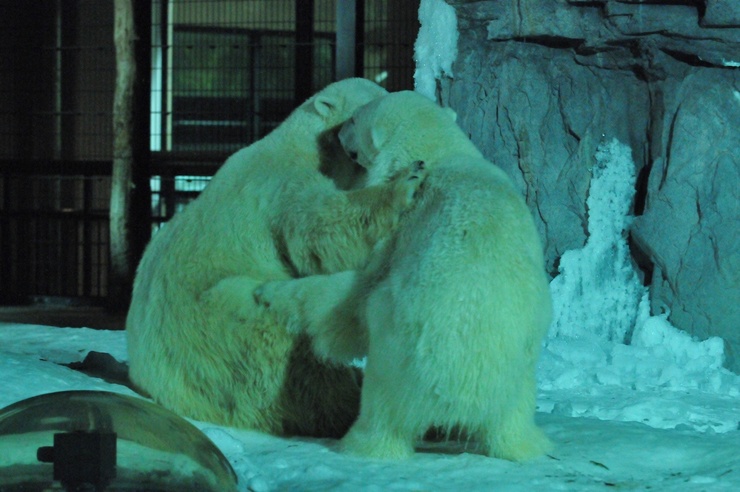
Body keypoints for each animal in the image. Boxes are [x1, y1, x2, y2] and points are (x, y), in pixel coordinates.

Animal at [127, 80, 428, 438]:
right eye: (370, 104)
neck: (305, 146)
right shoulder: (280, 184)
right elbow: (318, 229)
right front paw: (405, 183)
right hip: (219, 323)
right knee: (290, 354)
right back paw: (343, 404)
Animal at [254, 91, 548, 462]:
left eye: (354, 120)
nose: (338, 135)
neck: (440, 154)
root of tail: (464, 389)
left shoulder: (398, 235)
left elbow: (354, 294)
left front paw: (269, 291)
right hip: (520, 370)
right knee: (515, 419)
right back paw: (529, 445)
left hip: (398, 356)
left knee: (382, 405)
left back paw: (362, 443)